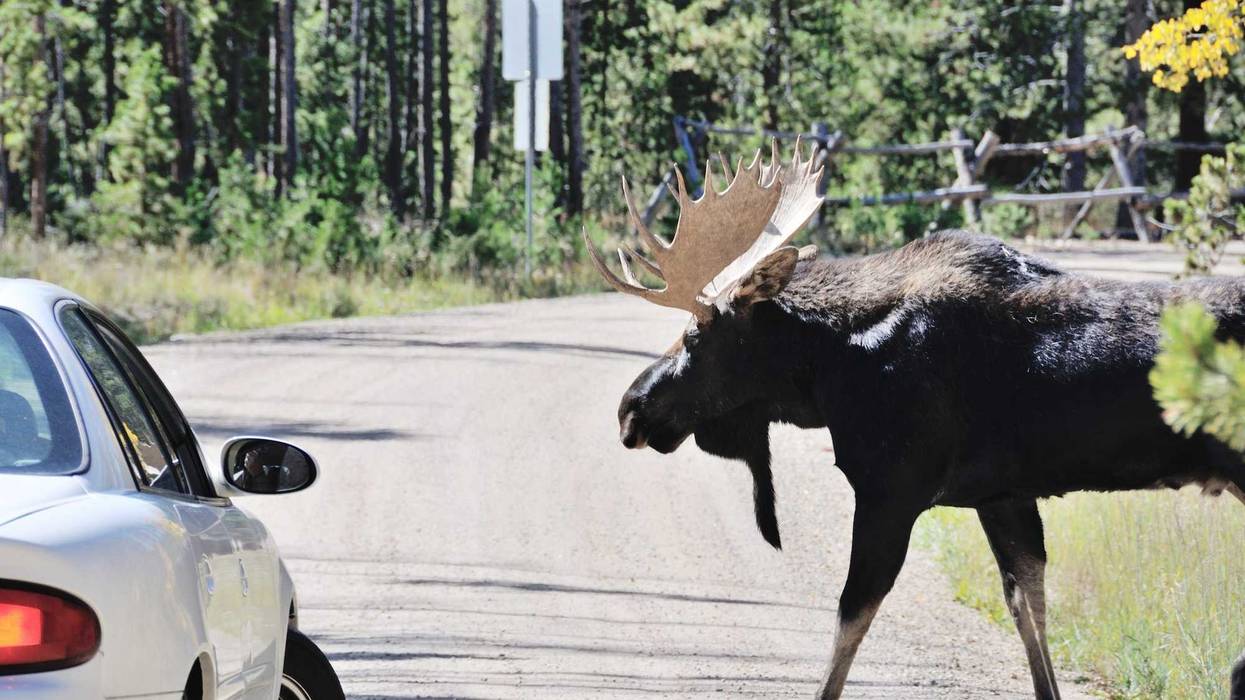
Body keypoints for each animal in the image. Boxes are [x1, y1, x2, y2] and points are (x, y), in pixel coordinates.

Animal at [584, 140, 1245, 700]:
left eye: (697, 333)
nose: (628, 409)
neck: (828, 370)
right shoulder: (1001, 495)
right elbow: (1029, 610)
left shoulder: (890, 490)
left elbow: (849, 622)